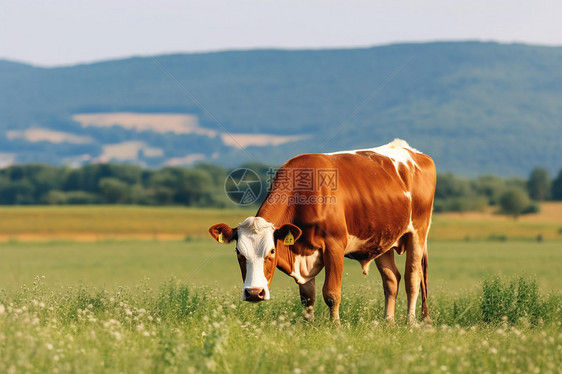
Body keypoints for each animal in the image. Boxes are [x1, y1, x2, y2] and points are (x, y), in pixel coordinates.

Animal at [208, 139, 436, 322]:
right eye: (239, 252)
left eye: (271, 251)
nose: (255, 293)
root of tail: (414, 152)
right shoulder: (302, 251)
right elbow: (307, 297)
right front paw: (308, 326)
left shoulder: (334, 245)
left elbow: (332, 293)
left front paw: (334, 326)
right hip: (383, 239)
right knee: (391, 280)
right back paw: (388, 323)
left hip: (418, 232)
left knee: (412, 279)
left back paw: (410, 323)